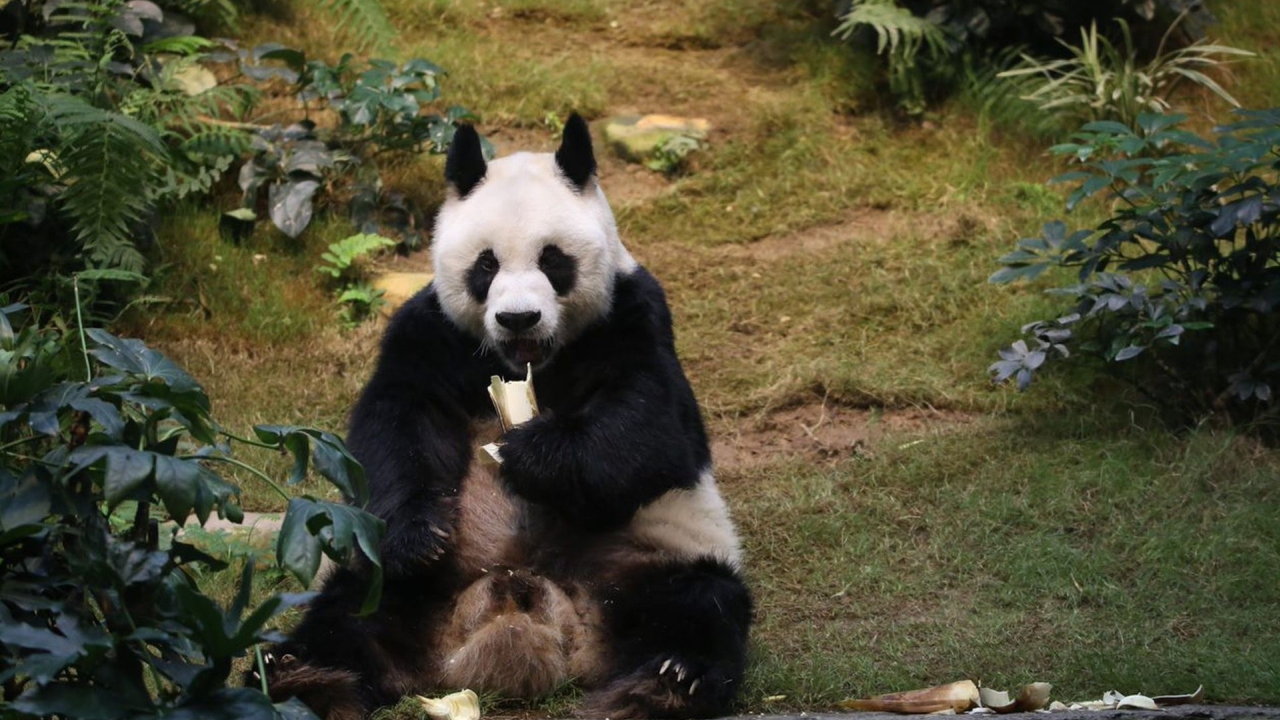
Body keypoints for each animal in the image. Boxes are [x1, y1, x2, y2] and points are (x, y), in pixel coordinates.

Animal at [258, 113, 747, 717]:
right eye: (485, 264)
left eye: (553, 260)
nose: (518, 318)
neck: (525, 362)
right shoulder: (431, 331)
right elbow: (396, 424)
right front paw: (420, 535)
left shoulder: (633, 315)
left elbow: (655, 427)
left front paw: (528, 455)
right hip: (393, 581)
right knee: (350, 610)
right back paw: (303, 676)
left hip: (649, 556)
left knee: (699, 603)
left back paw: (670, 680)